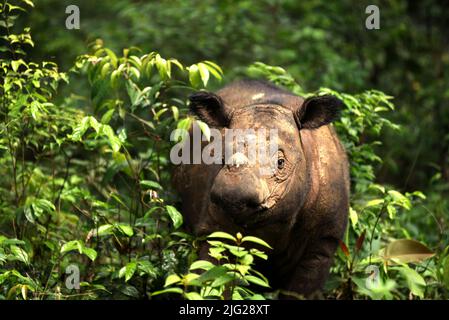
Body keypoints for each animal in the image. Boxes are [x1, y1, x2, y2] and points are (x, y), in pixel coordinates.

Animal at [172, 79, 350, 298]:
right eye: (221, 157)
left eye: (281, 163)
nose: (233, 194)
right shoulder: (213, 228)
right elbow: (210, 276)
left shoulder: (323, 243)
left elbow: (300, 292)